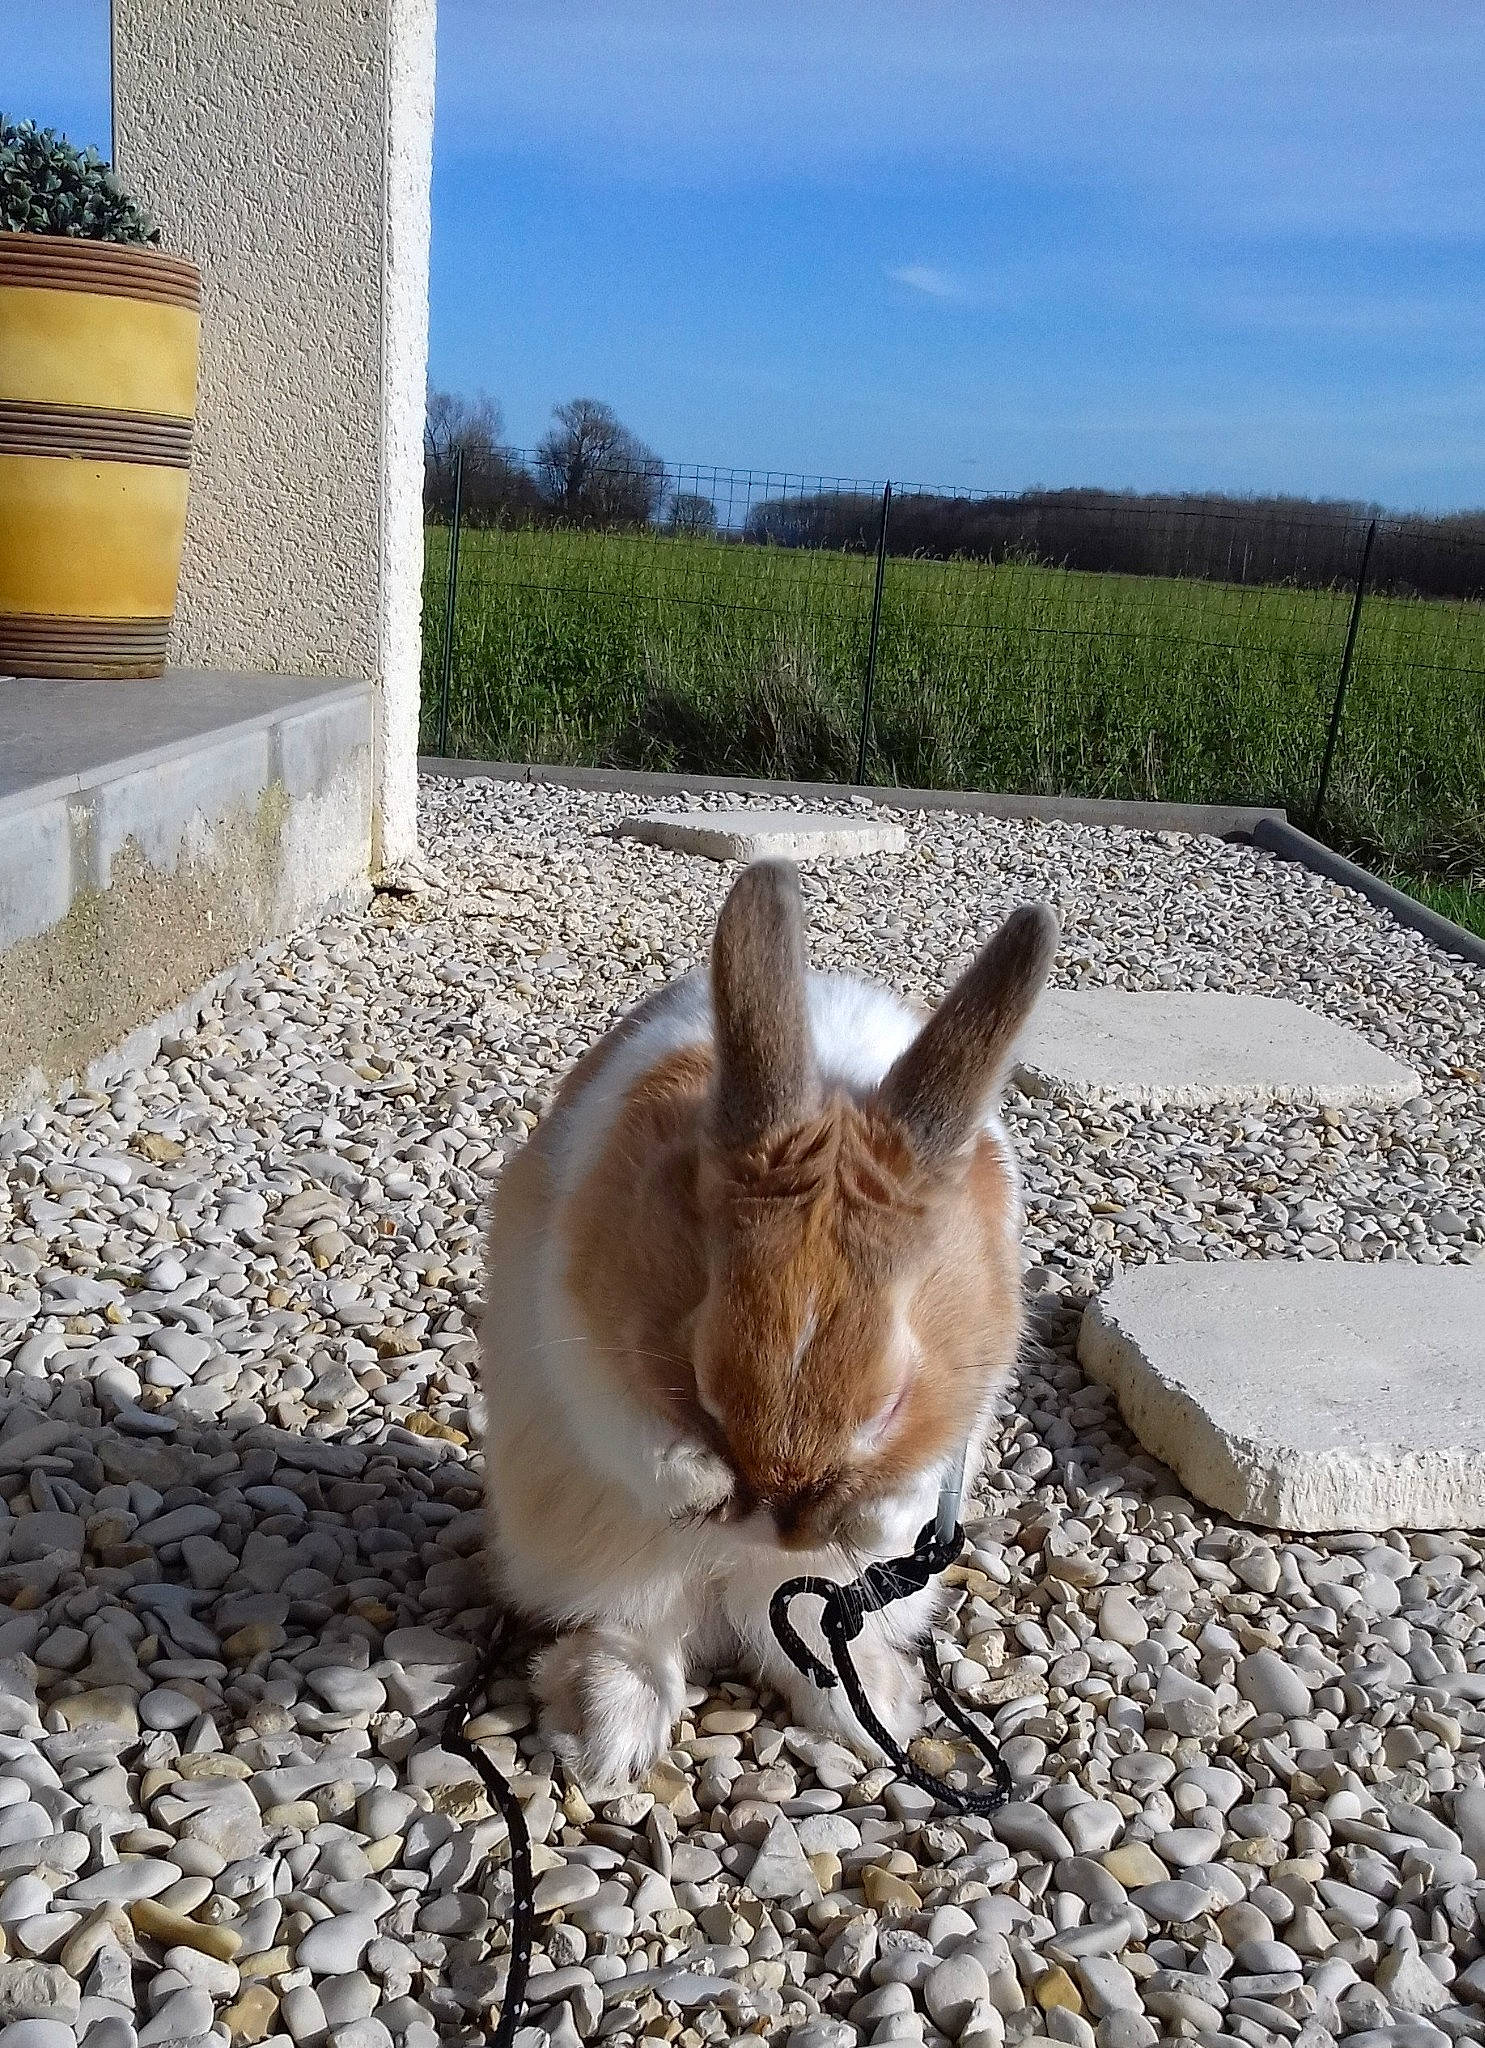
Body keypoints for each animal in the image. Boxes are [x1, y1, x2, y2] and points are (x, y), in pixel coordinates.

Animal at [480, 858, 1057, 1788]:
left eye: (888, 1407)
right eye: (702, 1385)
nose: (781, 1522)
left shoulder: (967, 1402)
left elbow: (919, 1478)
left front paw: (872, 1520)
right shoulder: (577, 1347)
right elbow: (630, 1434)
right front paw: (697, 1485)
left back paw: (870, 1707)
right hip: (592, 1556)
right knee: (636, 1629)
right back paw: (608, 1727)